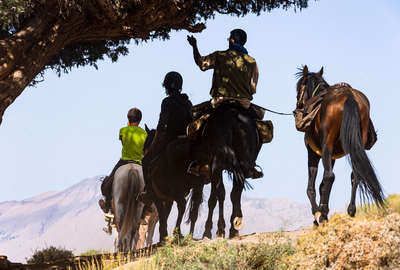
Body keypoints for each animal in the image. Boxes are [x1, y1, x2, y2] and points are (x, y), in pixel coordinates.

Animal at [192, 102, 260, 238]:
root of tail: (233, 116)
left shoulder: (213, 168)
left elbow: (214, 198)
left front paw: (208, 231)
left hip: (217, 165)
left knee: (220, 194)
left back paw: (220, 229)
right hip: (242, 165)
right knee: (235, 193)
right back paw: (235, 226)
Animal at [296, 64, 384, 225]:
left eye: (299, 88)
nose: (298, 106)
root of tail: (349, 96)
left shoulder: (314, 152)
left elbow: (312, 186)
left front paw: (317, 213)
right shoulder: (332, 157)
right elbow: (321, 186)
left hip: (327, 145)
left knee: (329, 176)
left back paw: (323, 214)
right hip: (356, 145)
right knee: (355, 175)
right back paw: (351, 211)